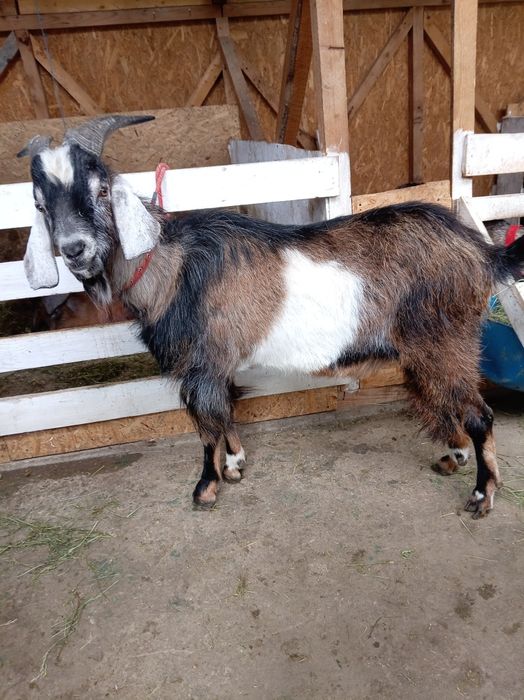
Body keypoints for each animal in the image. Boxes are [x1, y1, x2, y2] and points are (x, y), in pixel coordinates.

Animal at [21, 115, 524, 517]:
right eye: (41, 204)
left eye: (102, 189)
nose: (74, 248)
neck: (173, 267)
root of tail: (482, 252)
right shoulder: (218, 362)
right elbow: (226, 411)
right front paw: (236, 464)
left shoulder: (201, 363)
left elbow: (206, 422)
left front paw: (206, 487)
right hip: (428, 349)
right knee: (444, 399)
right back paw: (452, 457)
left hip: (444, 340)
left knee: (479, 414)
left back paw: (482, 495)